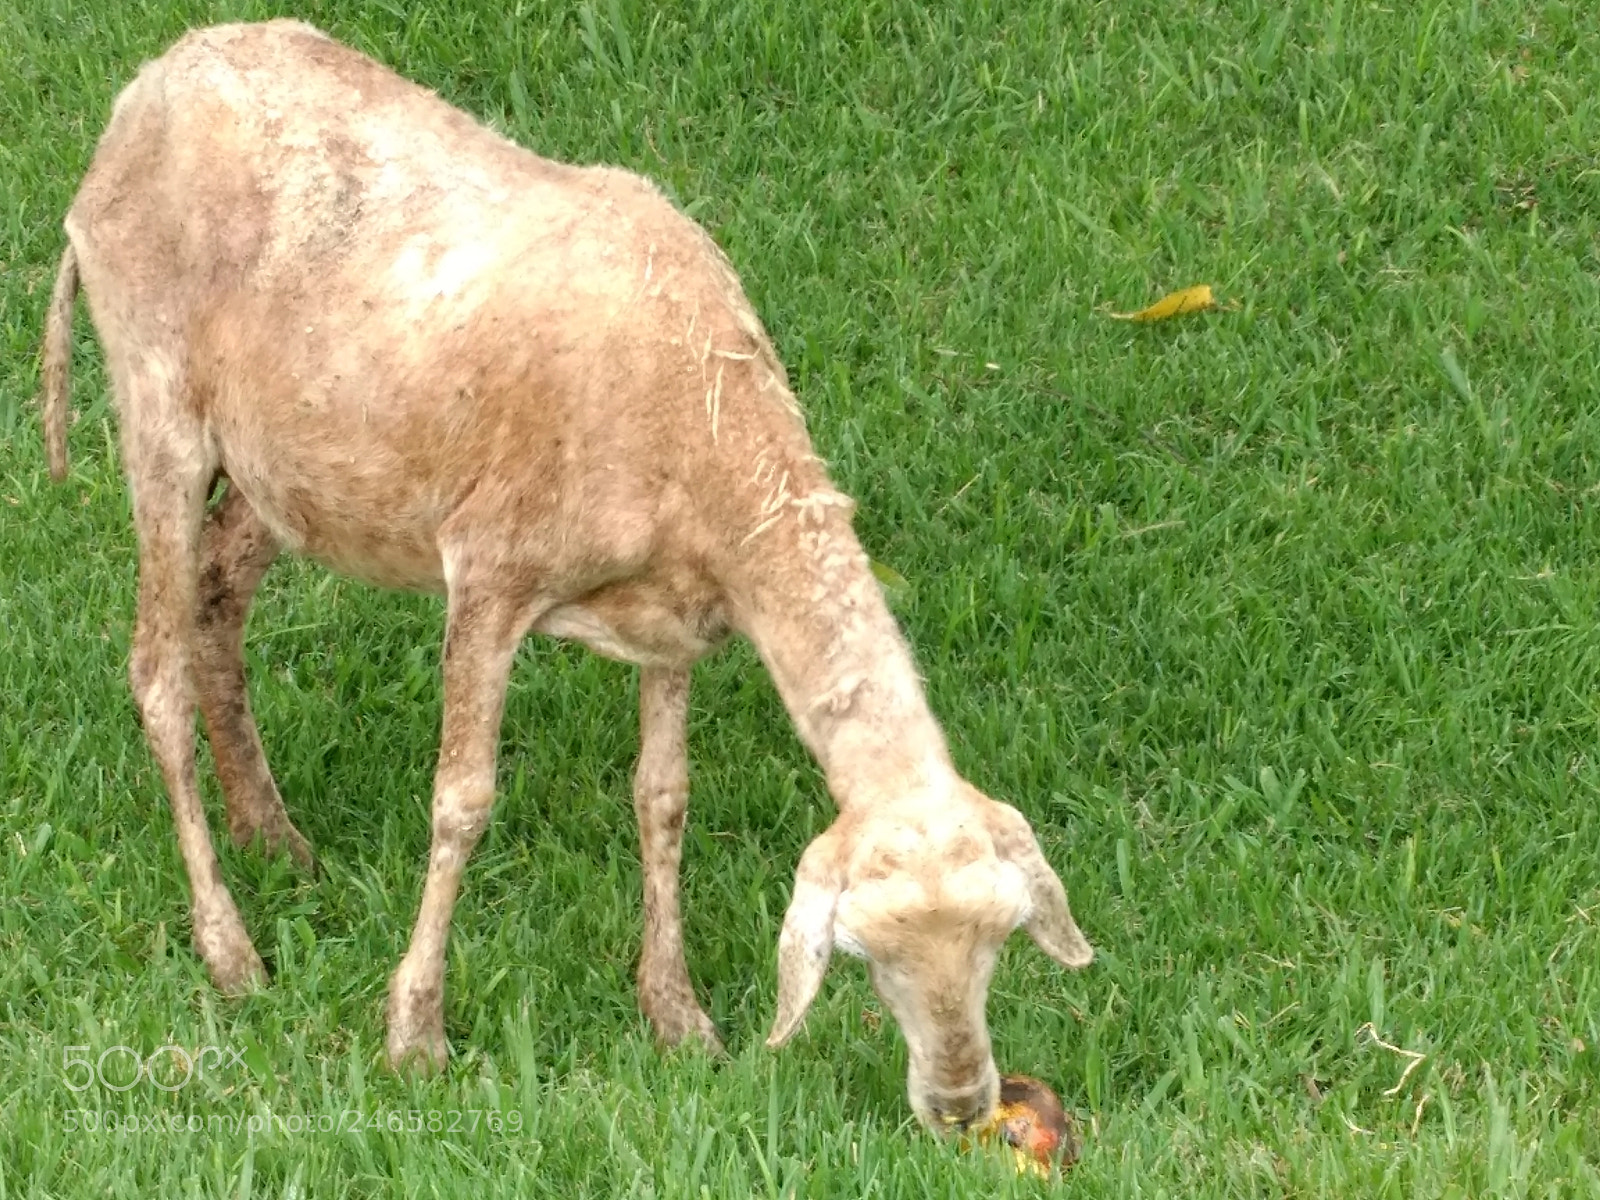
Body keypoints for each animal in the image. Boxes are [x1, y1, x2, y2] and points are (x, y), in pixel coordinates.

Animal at [39, 20, 1093, 1131]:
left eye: (999, 945)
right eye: (867, 955)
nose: (963, 1104)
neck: (702, 420)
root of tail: (142, 92)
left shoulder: (676, 623)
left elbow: (663, 797)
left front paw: (678, 1018)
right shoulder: (489, 568)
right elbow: (462, 801)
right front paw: (415, 1034)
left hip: (289, 467)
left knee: (218, 595)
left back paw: (274, 835)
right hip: (157, 401)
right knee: (153, 672)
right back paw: (231, 951)